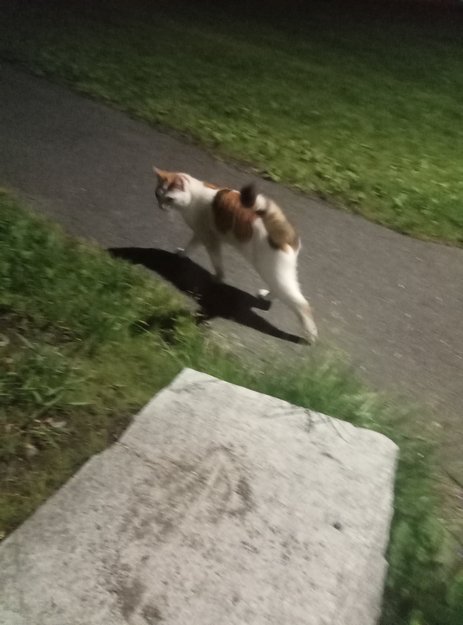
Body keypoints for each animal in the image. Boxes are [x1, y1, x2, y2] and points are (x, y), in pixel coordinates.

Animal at [153, 167, 318, 343]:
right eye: (158, 195)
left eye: (169, 198)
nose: (161, 206)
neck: (194, 196)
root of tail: (284, 230)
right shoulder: (200, 234)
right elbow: (190, 246)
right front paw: (183, 254)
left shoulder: (211, 240)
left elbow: (217, 264)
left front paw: (218, 278)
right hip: (276, 274)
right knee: (282, 292)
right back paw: (267, 296)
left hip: (272, 271)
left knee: (302, 304)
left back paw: (310, 335)